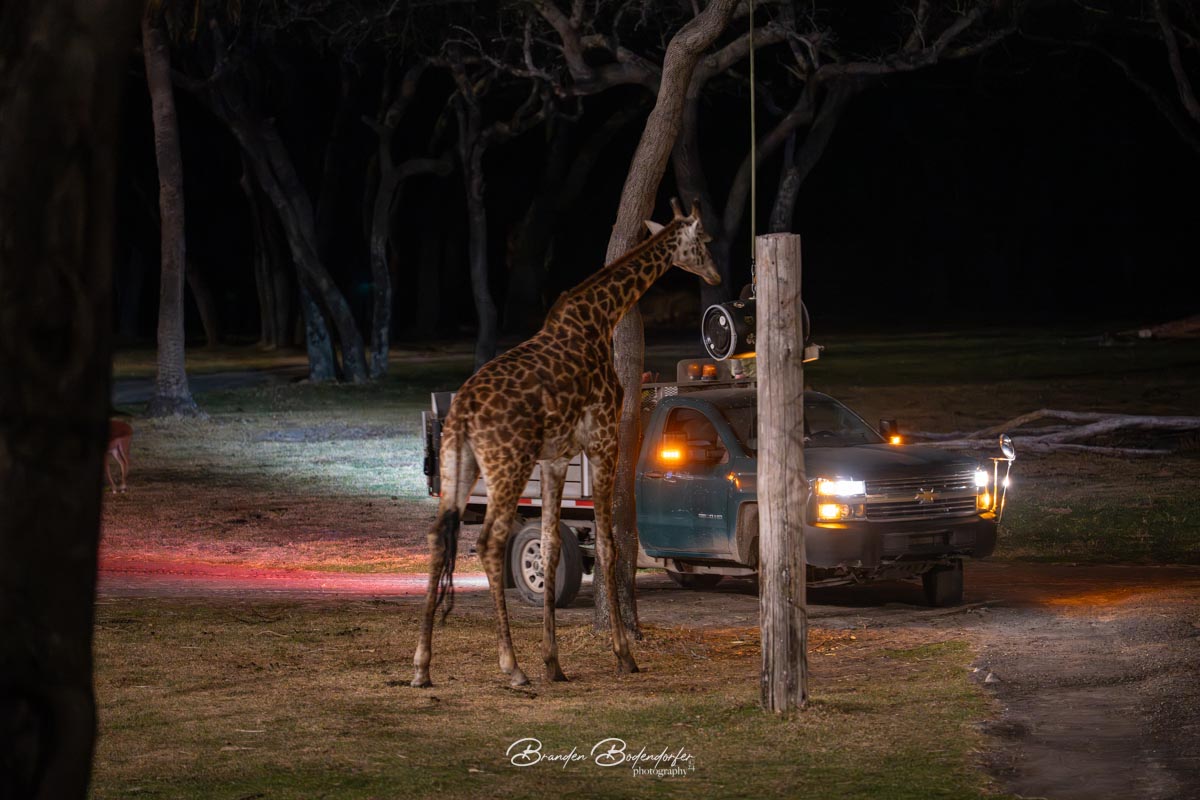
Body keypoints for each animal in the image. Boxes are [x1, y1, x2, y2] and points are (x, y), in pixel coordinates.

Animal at [412, 199, 721, 688]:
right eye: (704, 241)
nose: (715, 276)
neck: (600, 318)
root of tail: (460, 415)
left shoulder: (556, 459)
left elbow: (552, 546)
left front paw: (553, 661)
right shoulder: (603, 438)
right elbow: (611, 546)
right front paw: (622, 654)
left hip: (462, 464)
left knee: (439, 538)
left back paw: (422, 666)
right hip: (509, 464)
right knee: (489, 543)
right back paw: (511, 667)